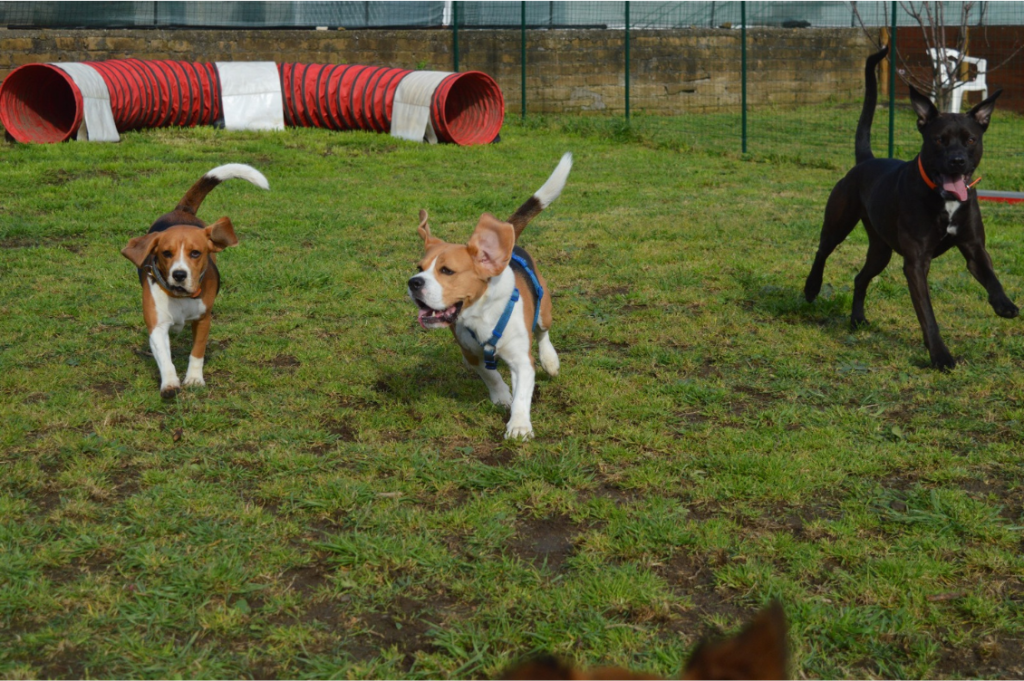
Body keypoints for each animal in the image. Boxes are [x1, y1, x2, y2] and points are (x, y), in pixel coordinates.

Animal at [121, 164, 268, 397]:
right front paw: (170, 384)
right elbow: (165, 358)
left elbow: (197, 352)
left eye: (196, 253)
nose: (179, 275)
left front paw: (194, 379)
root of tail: (182, 210)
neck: (181, 297)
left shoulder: (203, 319)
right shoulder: (157, 325)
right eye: (166, 253)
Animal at [407, 153, 572, 440]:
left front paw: (519, 425)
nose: (413, 282)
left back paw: (550, 360)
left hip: (544, 311)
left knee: (543, 333)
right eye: (420, 267)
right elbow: (491, 376)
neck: (480, 315)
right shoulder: (471, 352)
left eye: (446, 271)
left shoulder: (522, 360)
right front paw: (502, 396)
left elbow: (522, 395)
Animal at [804, 45, 1013, 370]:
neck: (943, 198)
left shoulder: (974, 248)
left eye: (970, 139)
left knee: (860, 277)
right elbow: (927, 315)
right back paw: (812, 288)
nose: (957, 161)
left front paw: (1005, 305)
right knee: (822, 251)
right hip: (838, 223)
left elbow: (991, 276)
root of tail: (865, 160)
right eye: (939, 140)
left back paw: (857, 318)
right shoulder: (916, 263)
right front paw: (940, 356)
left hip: (880, 250)